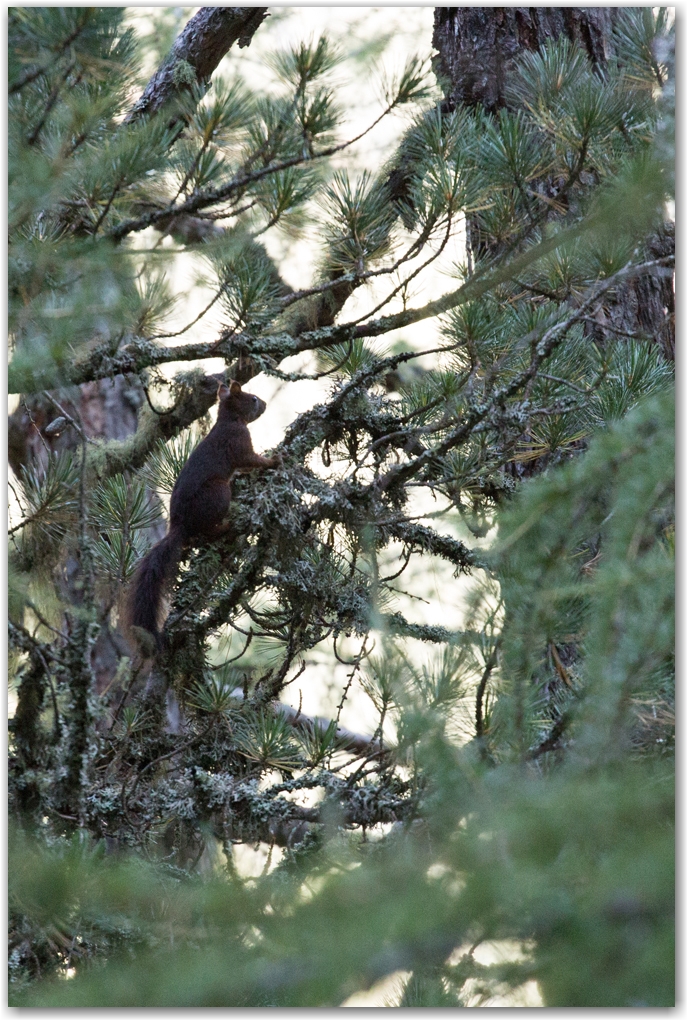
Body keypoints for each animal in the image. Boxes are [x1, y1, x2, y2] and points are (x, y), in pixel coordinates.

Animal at [126, 379, 279, 648]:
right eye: (252, 399)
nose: (264, 404)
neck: (231, 420)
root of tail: (179, 525)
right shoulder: (237, 441)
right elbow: (249, 460)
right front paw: (273, 461)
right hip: (218, 492)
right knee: (206, 531)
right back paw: (225, 527)